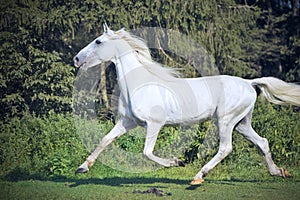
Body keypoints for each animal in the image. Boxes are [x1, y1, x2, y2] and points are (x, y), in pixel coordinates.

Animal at [74, 24, 300, 185]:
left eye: (98, 41)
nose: (76, 59)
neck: (139, 84)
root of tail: (249, 83)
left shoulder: (154, 124)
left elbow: (147, 152)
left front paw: (176, 162)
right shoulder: (127, 123)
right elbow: (104, 140)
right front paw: (82, 168)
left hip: (226, 120)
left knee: (225, 148)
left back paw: (198, 177)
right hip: (241, 123)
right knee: (262, 142)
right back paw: (278, 172)